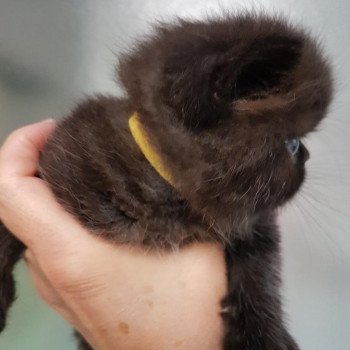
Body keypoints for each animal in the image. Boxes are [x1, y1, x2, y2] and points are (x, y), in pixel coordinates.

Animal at [0, 12, 334, 348]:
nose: (306, 156)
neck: (170, 199)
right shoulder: (58, 157)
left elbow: (261, 272)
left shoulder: (255, 224)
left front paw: (262, 335)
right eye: (293, 144)